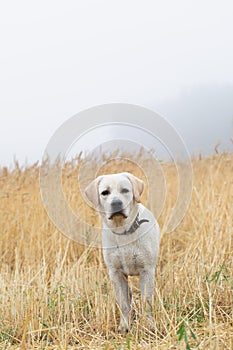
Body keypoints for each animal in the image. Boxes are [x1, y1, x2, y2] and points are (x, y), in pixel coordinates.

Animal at [85, 172, 160, 330]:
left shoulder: (147, 271)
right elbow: (123, 303)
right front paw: (125, 326)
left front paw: (148, 325)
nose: (116, 203)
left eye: (125, 190)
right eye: (105, 192)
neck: (123, 231)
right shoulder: (116, 273)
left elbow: (147, 302)